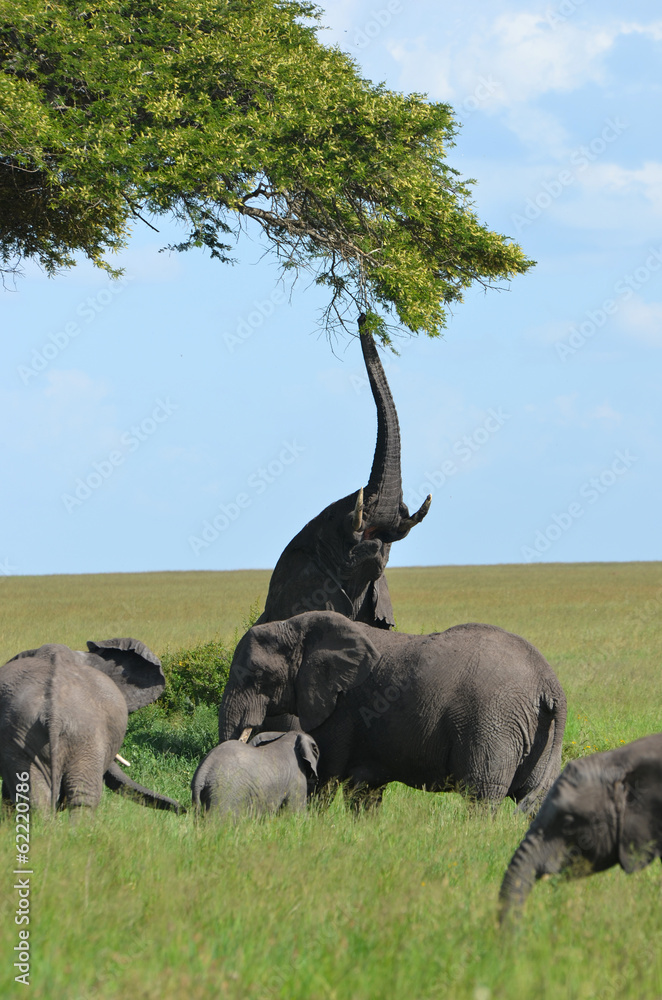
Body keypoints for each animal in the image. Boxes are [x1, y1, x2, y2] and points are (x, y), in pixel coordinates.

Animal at [217, 611, 567, 811]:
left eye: (255, 676)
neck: (294, 627)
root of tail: (549, 682)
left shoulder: (340, 708)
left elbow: (324, 775)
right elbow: (364, 789)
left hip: (493, 722)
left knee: (482, 796)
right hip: (535, 731)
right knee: (533, 798)